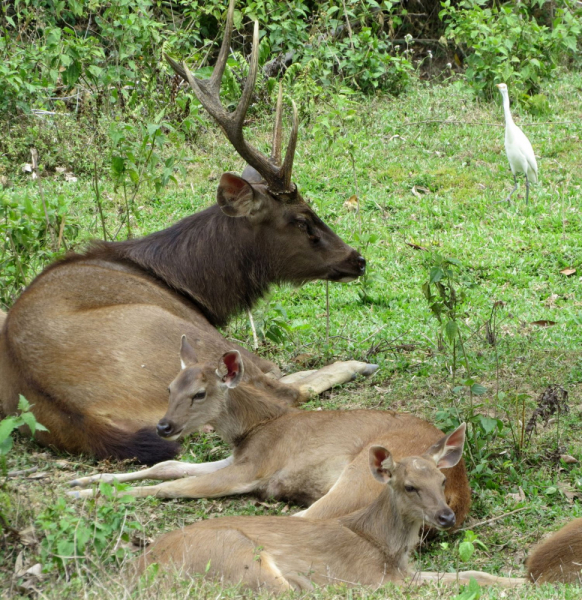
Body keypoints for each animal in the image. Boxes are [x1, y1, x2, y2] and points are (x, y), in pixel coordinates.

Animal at [0, 0, 370, 464]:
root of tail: (85, 419)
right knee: (282, 391)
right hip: (175, 335)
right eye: (302, 219)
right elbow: (280, 373)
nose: (357, 259)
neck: (193, 285)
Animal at [68, 338, 472, 536]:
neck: (254, 430)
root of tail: (457, 492)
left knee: (312, 518)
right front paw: (85, 480)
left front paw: (84, 495)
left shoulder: (254, 468)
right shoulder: (241, 458)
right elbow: (168, 466)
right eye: (169, 388)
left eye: (200, 393)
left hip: (362, 474)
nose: (164, 426)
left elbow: (172, 486)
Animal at [136, 432, 528, 592]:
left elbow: (471, 574)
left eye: (442, 479)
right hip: (238, 554)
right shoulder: (376, 578)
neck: (384, 547)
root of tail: (138, 568)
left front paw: (525, 581)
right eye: (409, 486)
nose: (446, 517)